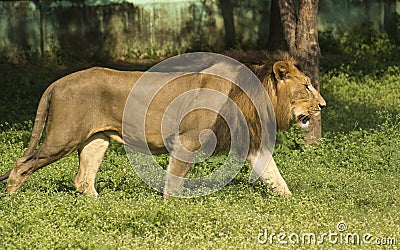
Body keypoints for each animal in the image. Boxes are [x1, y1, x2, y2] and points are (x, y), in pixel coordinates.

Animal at [0, 51, 324, 198]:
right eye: (307, 86)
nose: (322, 105)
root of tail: (57, 82)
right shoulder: (188, 139)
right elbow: (175, 178)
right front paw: (171, 204)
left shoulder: (251, 144)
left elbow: (275, 176)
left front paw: (294, 204)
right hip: (63, 136)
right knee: (22, 165)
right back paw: (13, 200)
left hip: (96, 140)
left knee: (82, 178)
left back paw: (100, 204)